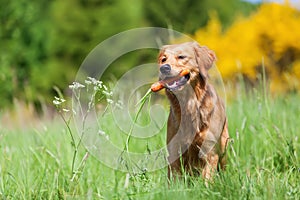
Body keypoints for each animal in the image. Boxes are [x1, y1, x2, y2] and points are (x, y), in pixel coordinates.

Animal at [158, 41, 229, 180]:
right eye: (163, 59)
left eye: (181, 57)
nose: (164, 68)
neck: (188, 104)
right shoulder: (174, 151)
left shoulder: (209, 151)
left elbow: (207, 178)